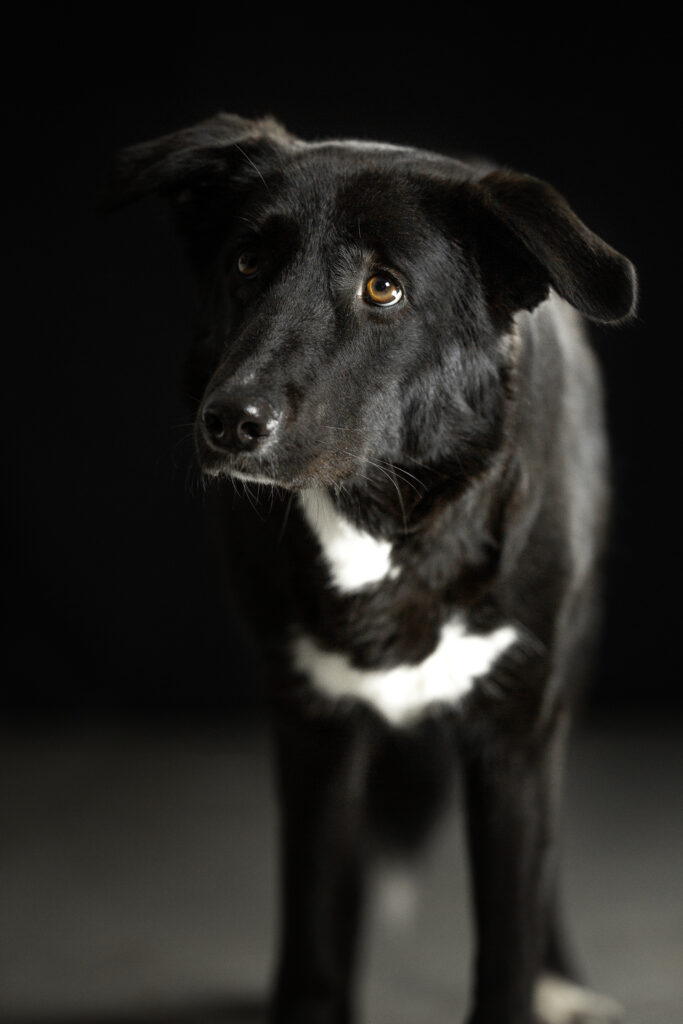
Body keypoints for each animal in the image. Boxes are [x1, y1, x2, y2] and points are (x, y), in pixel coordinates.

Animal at [104, 116, 638, 1024]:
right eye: (245, 262)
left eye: (383, 289)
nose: (230, 421)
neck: (384, 523)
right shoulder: (313, 731)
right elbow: (316, 942)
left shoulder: (517, 738)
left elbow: (509, 941)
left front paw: (535, 980)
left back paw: (562, 981)